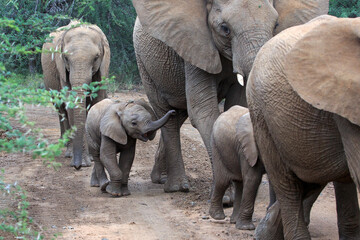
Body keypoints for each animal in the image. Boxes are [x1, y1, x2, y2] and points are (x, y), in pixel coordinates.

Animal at [41, 21, 109, 170]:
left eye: (96, 57)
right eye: (65, 57)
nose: (77, 166)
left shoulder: (103, 69)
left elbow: (96, 101)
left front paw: (91, 158)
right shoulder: (62, 69)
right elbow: (70, 103)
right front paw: (83, 162)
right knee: (61, 110)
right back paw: (68, 152)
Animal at [132, 0, 330, 192]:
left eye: (276, 24)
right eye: (225, 28)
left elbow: (236, 105)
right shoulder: (195, 44)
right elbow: (203, 111)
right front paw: (228, 195)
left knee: (176, 114)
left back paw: (160, 178)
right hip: (144, 64)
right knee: (165, 112)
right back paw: (177, 187)